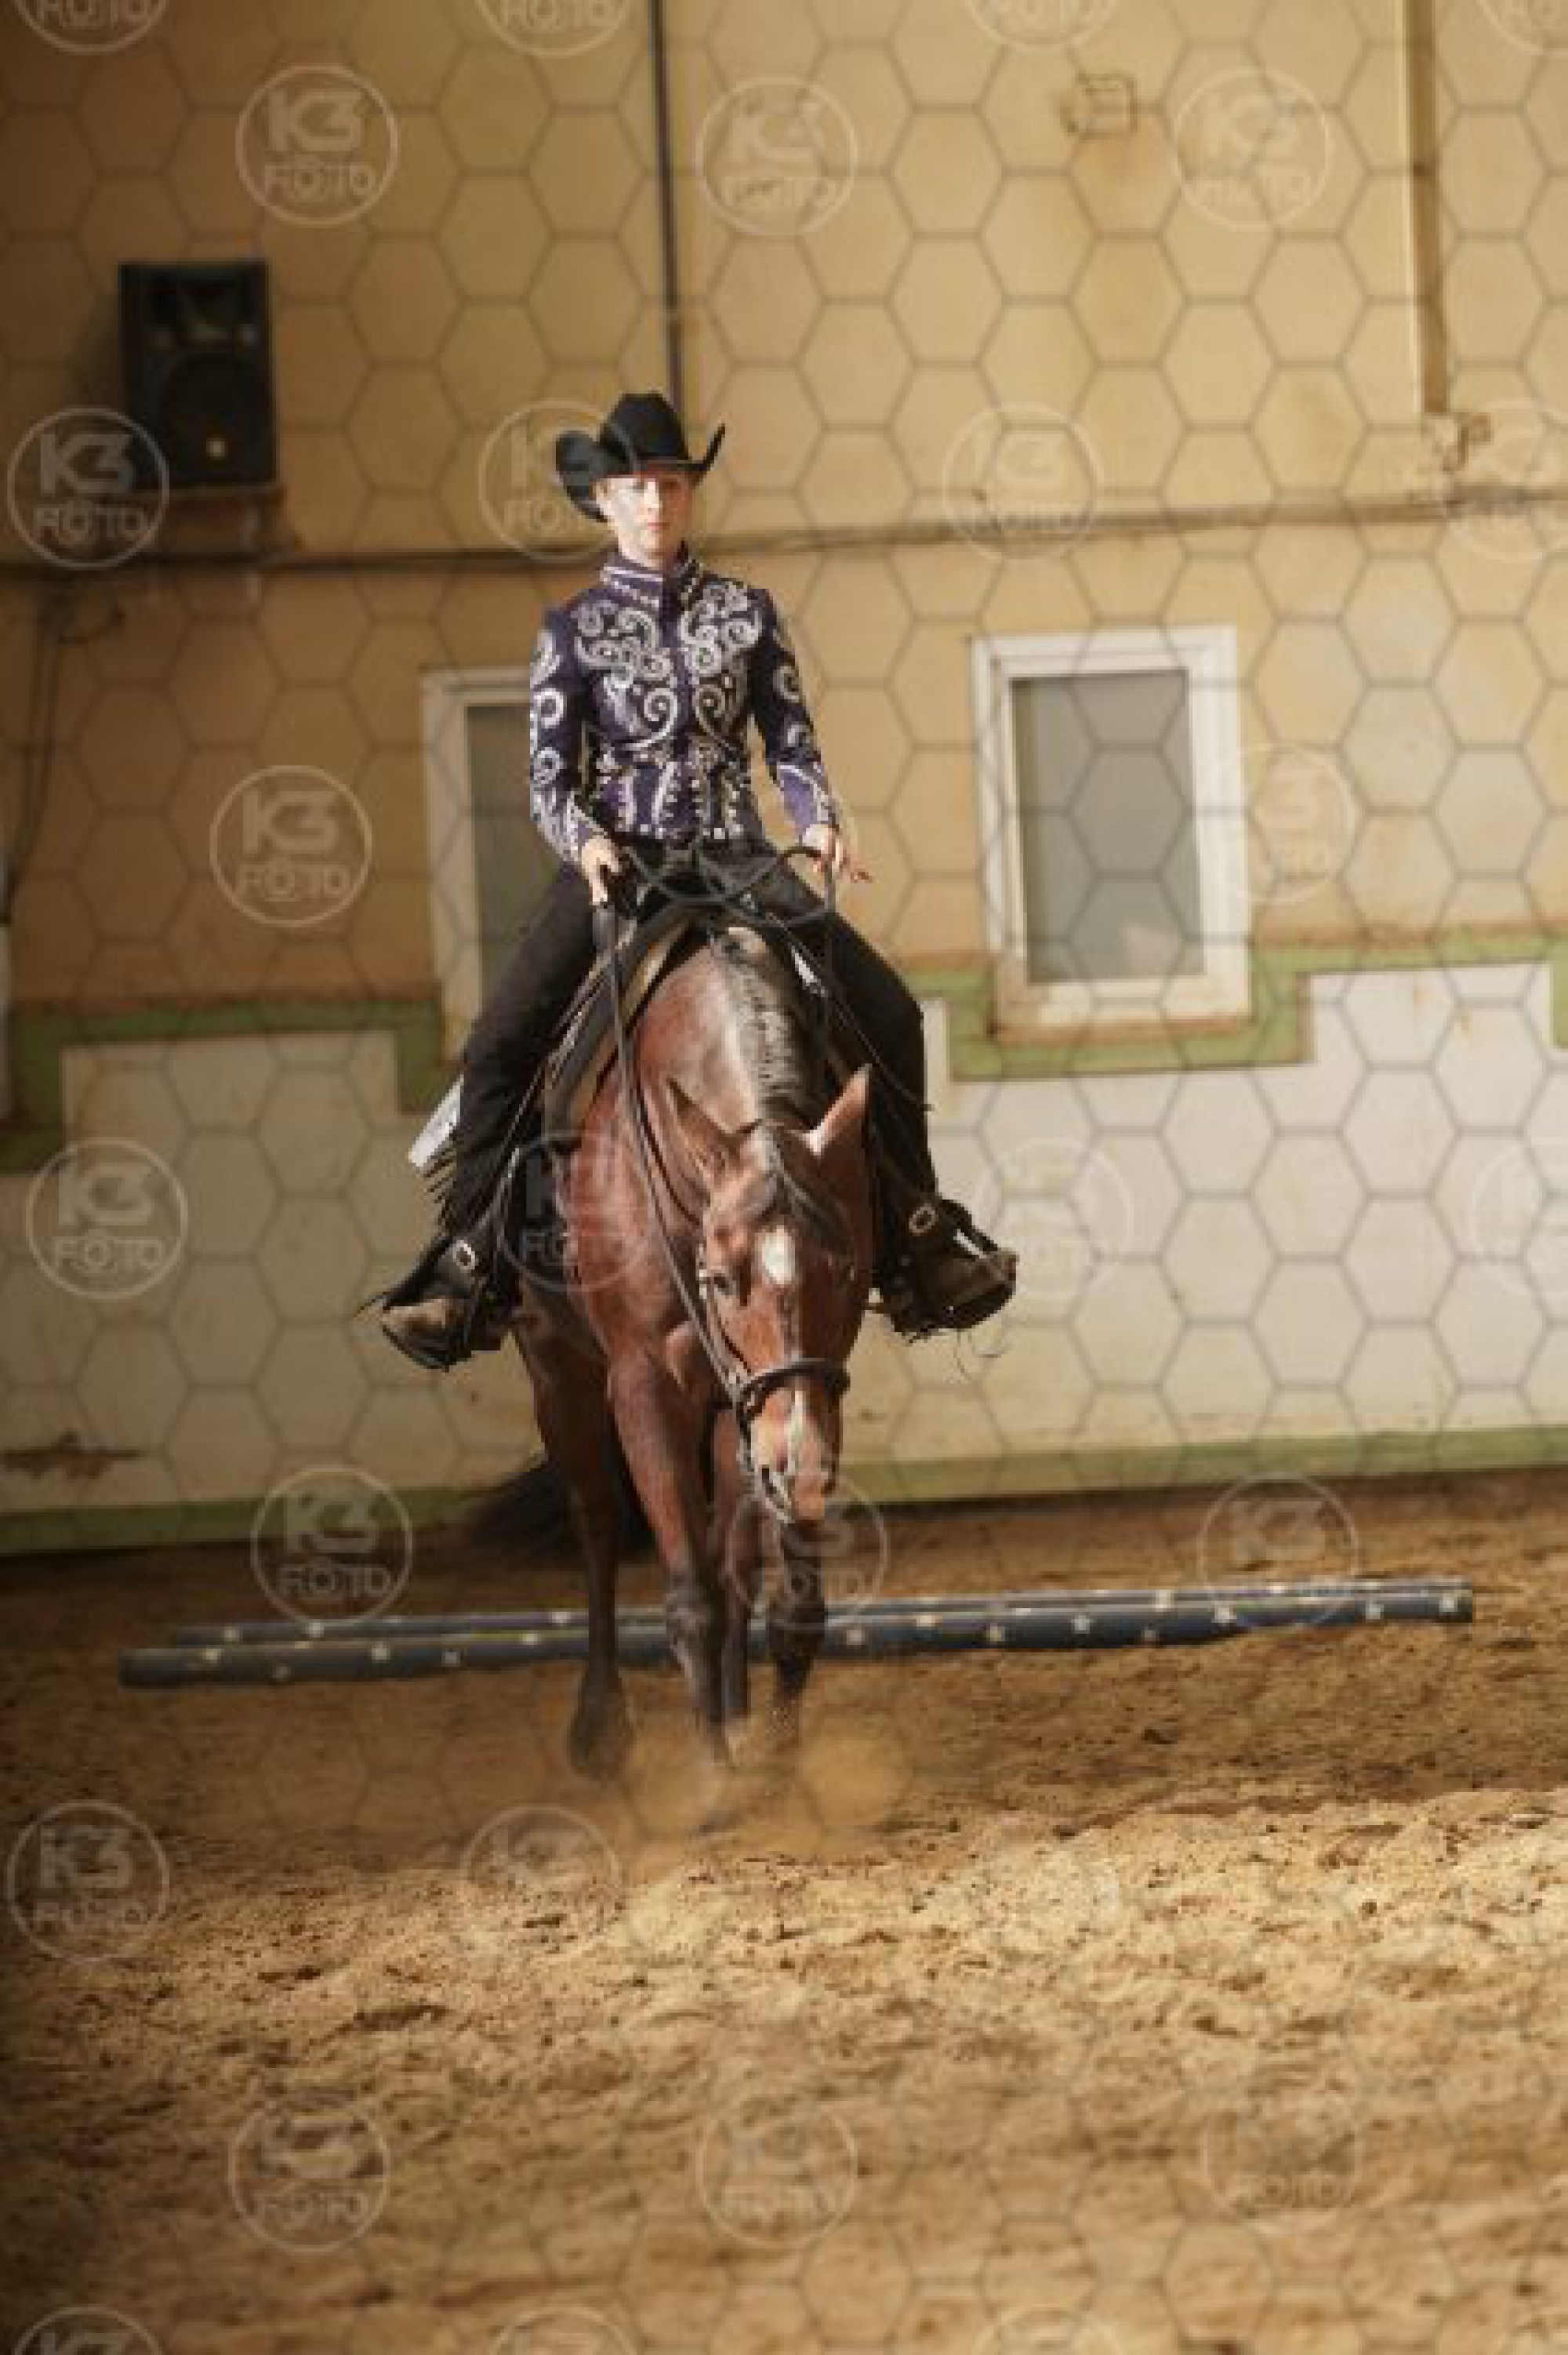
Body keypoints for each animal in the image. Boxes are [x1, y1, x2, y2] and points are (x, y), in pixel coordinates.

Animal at [507, 880, 877, 1816]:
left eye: (846, 1267)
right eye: (716, 1275)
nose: (798, 1462)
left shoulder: (795, 1403)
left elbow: (785, 1598)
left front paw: (777, 1761)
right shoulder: (644, 1383)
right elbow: (690, 1594)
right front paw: (712, 1783)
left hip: (738, 1410)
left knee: (731, 1549)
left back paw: (737, 1714)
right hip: (560, 1375)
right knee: (598, 1521)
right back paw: (601, 1728)